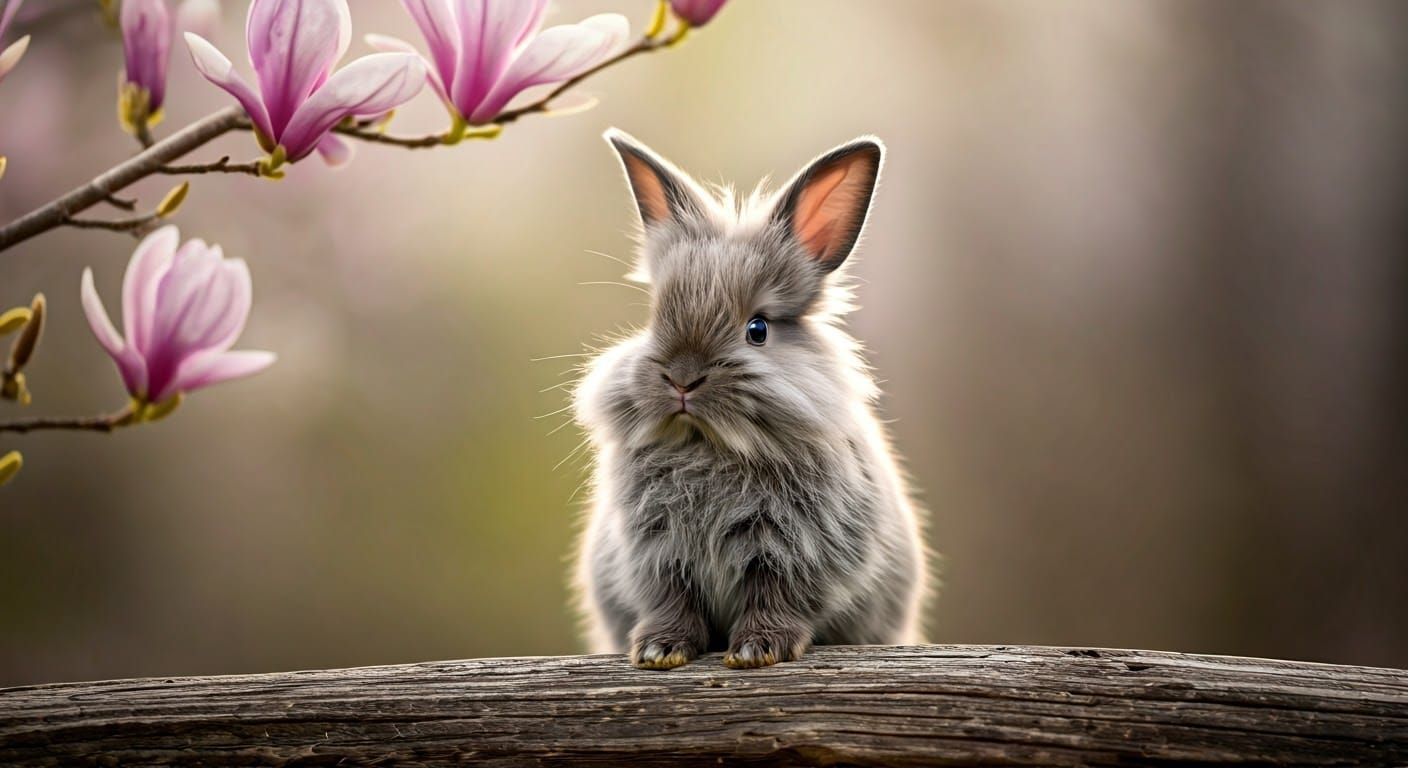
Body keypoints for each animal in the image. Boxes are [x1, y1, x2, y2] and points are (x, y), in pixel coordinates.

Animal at [572, 129, 929, 670]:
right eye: (655, 318)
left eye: (757, 330)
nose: (681, 378)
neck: (708, 445)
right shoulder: (657, 553)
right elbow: (673, 601)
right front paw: (660, 650)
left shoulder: (795, 552)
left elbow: (777, 596)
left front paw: (757, 650)